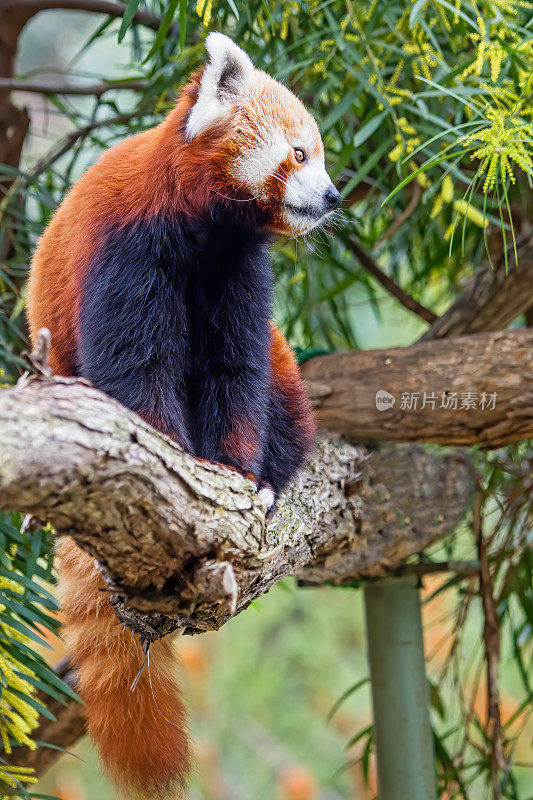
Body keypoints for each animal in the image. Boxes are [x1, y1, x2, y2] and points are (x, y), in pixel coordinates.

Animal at [26, 32, 336, 800]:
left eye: (318, 154)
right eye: (298, 154)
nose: (332, 196)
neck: (206, 229)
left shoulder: (238, 275)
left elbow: (237, 374)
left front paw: (239, 480)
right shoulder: (130, 252)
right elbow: (138, 373)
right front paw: (172, 474)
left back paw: (274, 479)